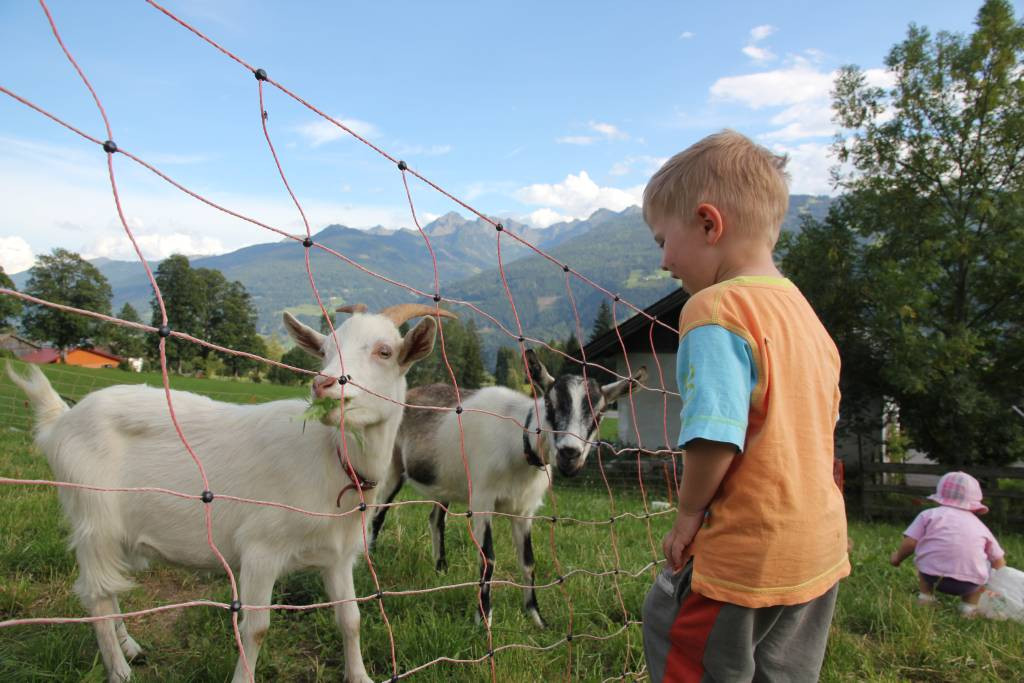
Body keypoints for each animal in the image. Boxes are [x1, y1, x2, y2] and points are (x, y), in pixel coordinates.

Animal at [6, 303, 453, 683]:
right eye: (325, 351)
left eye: (384, 351)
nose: (324, 383)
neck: (333, 458)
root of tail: (61, 421)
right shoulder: (260, 549)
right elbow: (255, 628)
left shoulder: (338, 556)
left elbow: (351, 619)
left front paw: (359, 676)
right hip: (92, 513)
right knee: (97, 595)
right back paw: (119, 670)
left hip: (114, 529)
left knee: (109, 587)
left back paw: (130, 647)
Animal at [370, 349, 647, 627]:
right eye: (549, 405)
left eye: (599, 414)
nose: (570, 453)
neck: (518, 443)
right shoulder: (482, 500)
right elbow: (488, 558)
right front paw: (484, 618)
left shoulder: (524, 510)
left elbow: (528, 561)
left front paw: (536, 617)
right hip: (391, 468)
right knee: (378, 514)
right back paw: (370, 560)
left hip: (442, 481)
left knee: (436, 519)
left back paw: (440, 570)